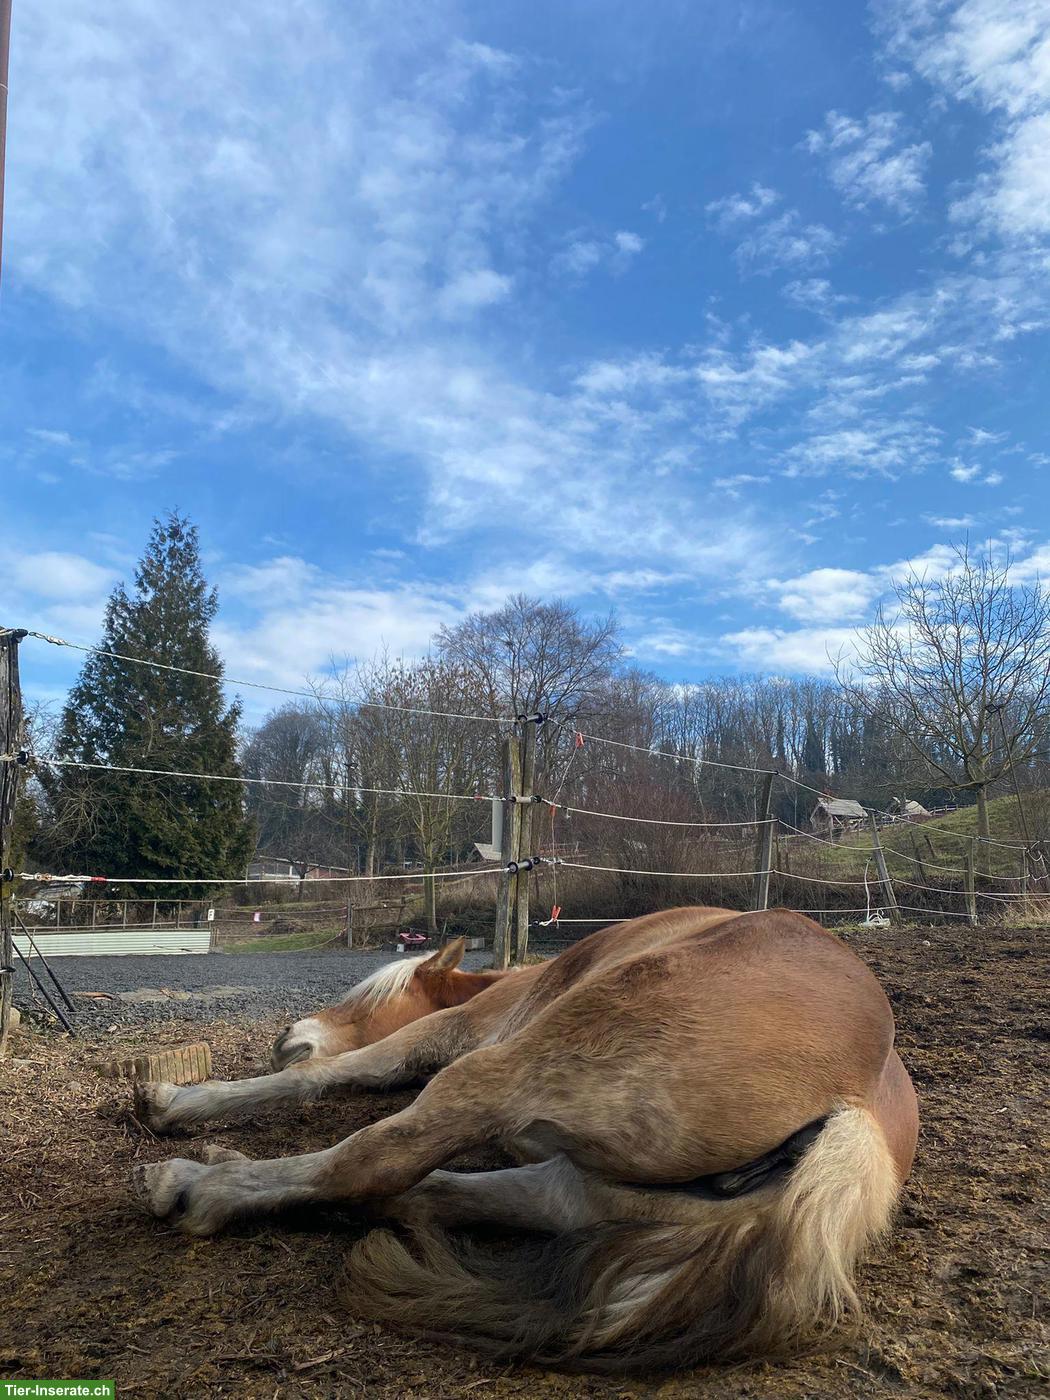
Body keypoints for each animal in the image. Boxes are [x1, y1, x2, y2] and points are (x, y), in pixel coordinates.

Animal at [132, 907, 919, 1373]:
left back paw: (202, 1184)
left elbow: (333, 1073)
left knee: (374, 1162)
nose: (286, 1033)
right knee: (435, 1189)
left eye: (364, 1001)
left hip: (503, 1073)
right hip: (578, 1191)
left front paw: (184, 1102)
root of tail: (859, 1110)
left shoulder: (453, 1033)